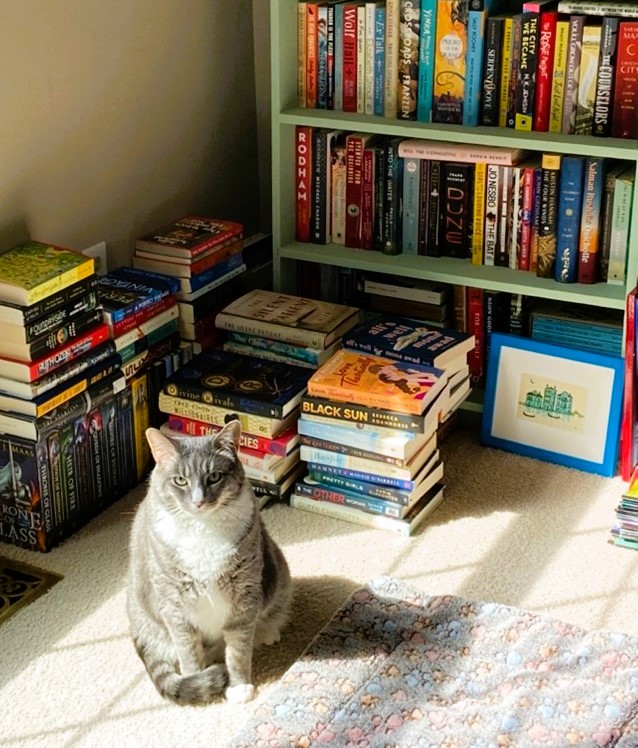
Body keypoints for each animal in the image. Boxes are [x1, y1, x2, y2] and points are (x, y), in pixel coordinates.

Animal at [126, 420, 292, 708]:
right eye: (180, 480)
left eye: (214, 477)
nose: (199, 501)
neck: (202, 528)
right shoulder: (174, 605)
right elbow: (188, 651)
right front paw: (198, 680)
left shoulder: (245, 594)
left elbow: (238, 650)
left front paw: (239, 687)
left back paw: (267, 633)